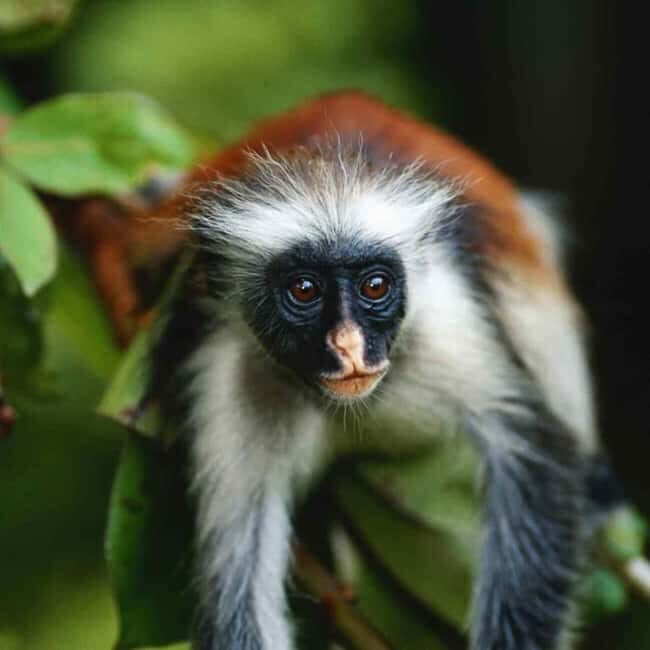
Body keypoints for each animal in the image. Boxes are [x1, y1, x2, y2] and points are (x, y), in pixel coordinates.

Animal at [144, 91, 623, 650]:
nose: (350, 345)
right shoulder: (230, 370)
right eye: (304, 290)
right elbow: (235, 580)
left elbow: (535, 455)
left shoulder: (446, 321)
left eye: (375, 286)